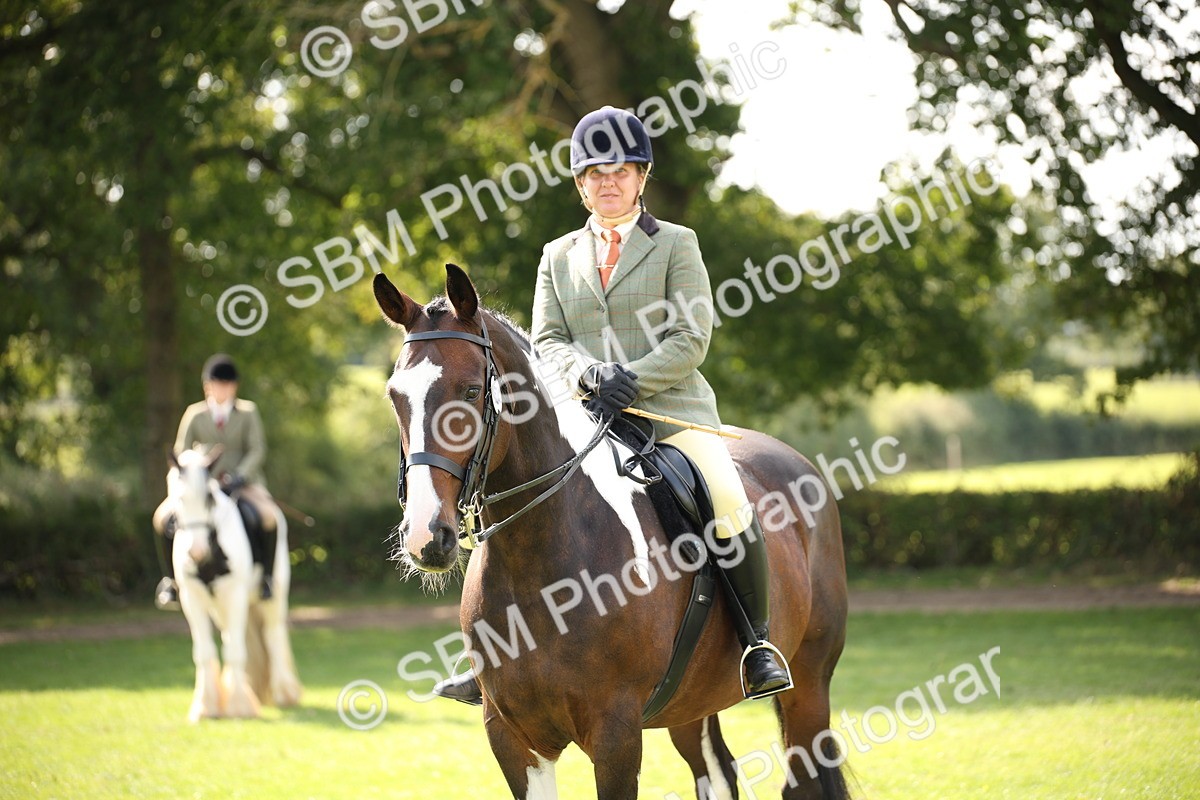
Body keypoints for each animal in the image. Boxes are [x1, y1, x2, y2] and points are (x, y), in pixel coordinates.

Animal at [167, 446, 303, 722]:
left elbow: (238, 652)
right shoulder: (191, 598)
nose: (196, 552)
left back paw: (284, 693)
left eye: (209, 497)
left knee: (272, 635)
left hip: (272, 595)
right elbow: (204, 653)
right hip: (220, 607)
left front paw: (239, 706)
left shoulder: (235, 595)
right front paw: (205, 706)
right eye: (179, 498)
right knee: (231, 638)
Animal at [374, 264, 850, 800]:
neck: (539, 565)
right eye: (395, 396)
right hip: (691, 705)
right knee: (717, 772)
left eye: (472, 391)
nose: (425, 536)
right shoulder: (512, 737)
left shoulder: (616, 734)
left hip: (808, 684)